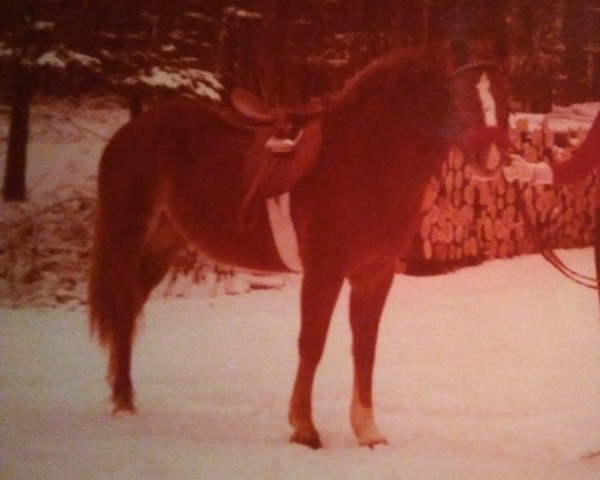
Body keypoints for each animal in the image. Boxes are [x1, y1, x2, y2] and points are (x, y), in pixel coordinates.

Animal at [89, 43, 510, 448]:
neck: (367, 159)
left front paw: (367, 431)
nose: (490, 159)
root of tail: (129, 132)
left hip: (165, 240)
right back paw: (123, 402)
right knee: (124, 305)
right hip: (126, 233)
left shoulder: (375, 273)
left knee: (133, 303)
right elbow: (312, 342)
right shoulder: (324, 270)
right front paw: (304, 428)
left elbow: (365, 347)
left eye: (501, 99)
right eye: (458, 97)